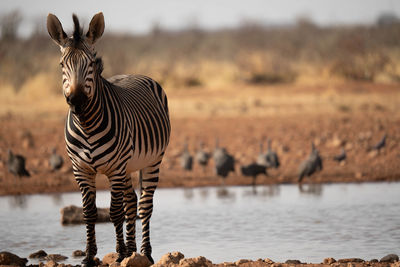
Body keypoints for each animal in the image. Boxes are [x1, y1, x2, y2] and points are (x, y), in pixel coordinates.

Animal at [47, 12, 170, 266]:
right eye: (62, 65)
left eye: (91, 64)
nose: (77, 102)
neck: (87, 126)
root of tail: (135, 74)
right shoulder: (81, 170)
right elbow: (89, 213)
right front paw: (89, 256)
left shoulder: (115, 168)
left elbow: (115, 212)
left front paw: (120, 253)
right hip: (128, 166)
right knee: (131, 202)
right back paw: (133, 250)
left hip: (151, 161)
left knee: (144, 206)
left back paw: (145, 252)